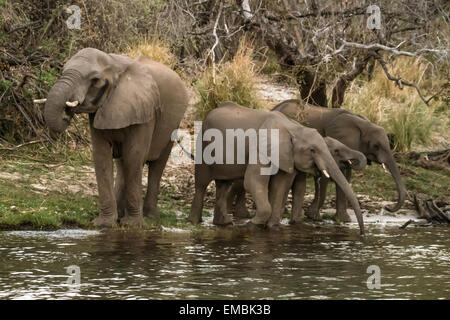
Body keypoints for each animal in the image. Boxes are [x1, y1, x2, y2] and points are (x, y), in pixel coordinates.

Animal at [44, 47, 188, 228]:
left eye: (95, 80)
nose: (67, 113)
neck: (114, 63)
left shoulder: (145, 111)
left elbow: (134, 155)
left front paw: (132, 225)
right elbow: (101, 156)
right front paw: (104, 224)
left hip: (172, 123)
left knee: (156, 164)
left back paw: (150, 216)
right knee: (122, 163)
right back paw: (121, 213)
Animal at [189, 102, 366, 235]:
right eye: (312, 150)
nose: (362, 234)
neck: (293, 128)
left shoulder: (286, 155)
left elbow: (280, 185)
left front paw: (272, 227)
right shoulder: (260, 148)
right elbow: (253, 181)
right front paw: (252, 225)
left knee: (223, 184)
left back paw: (223, 224)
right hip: (202, 145)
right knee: (202, 184)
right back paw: (195, 222)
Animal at [270, 99, 408, 221]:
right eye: (376, 146)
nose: (388, 207)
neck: (363, 124)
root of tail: (275, 108)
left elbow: (345, 176)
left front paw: (343, 220)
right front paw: (313, 216)